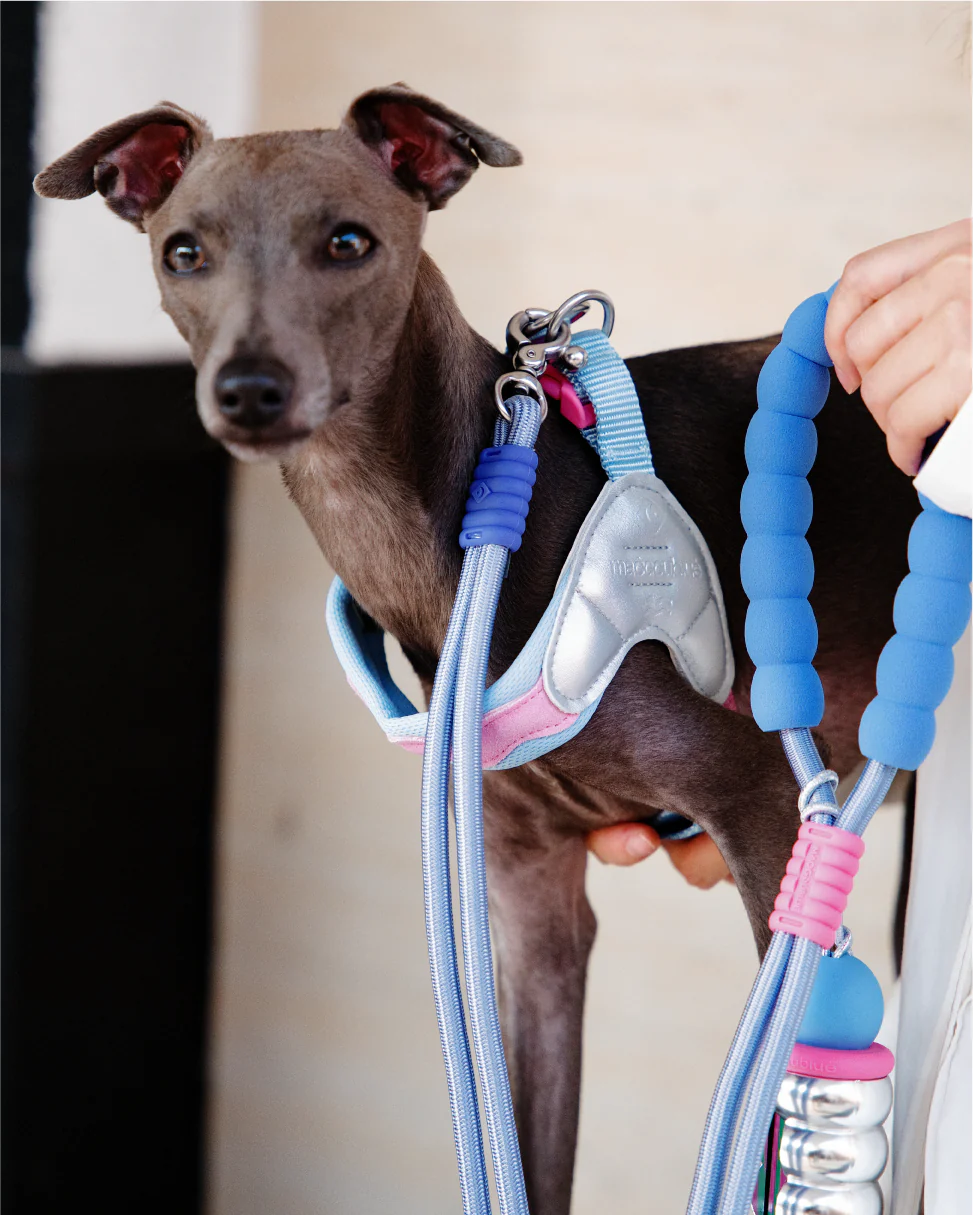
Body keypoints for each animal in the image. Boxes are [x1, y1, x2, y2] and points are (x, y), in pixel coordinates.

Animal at [35, 84, 918, 1214]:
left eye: (349, 241)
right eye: (183, 251)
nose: (249, 390)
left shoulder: (769, 822)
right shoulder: (528, 898)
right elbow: (529, 1149)